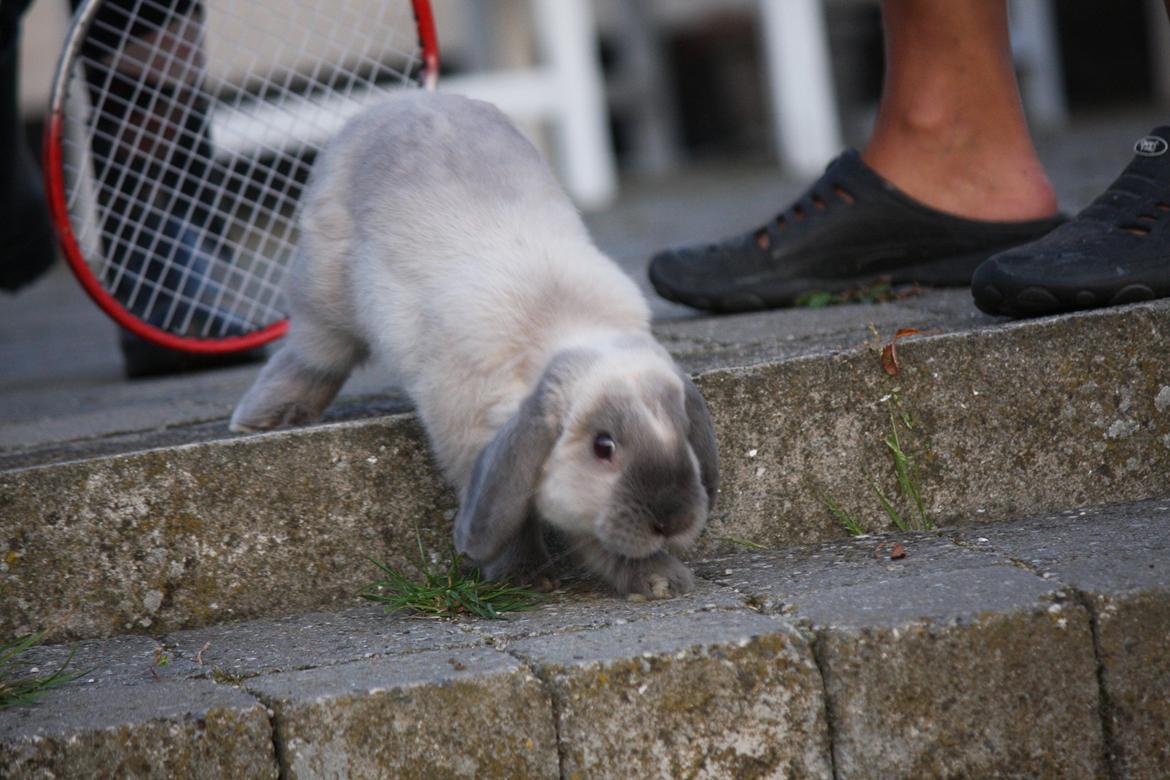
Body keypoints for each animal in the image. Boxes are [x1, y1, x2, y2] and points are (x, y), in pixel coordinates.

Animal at [229, 92, 716, 603]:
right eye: (603, 447)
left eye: (684, 433)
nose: (670, 520)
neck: (565, 330)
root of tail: (398, 101)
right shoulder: (469, 443)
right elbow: (513, 519)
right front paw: (523, 576)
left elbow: (595, 537)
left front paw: (659, 578)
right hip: (325, 291)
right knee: (310, 354)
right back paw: (263, 418)